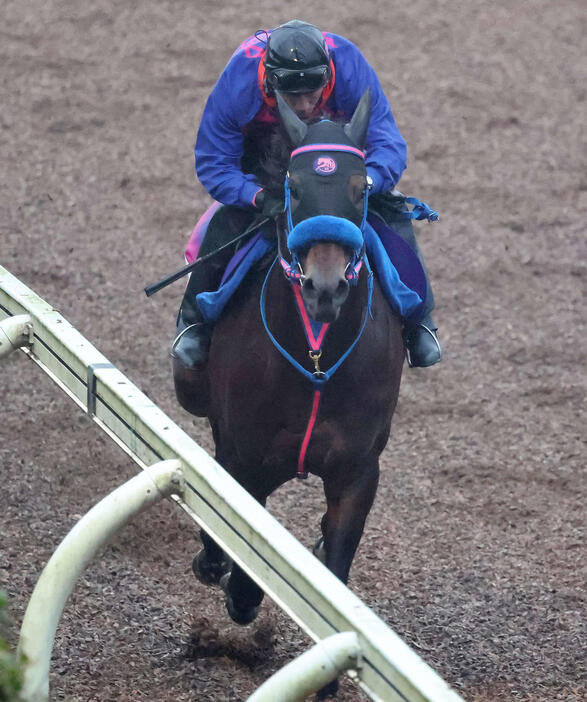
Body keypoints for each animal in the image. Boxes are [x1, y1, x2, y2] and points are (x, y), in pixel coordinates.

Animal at [175, 89, 408, 640]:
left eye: (360, 189)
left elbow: (337, 566)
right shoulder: (246, 461)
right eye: (294, 190)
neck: (317, 361)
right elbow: (243, 562)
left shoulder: (357, 471)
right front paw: (229, 579)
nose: (324, 288)